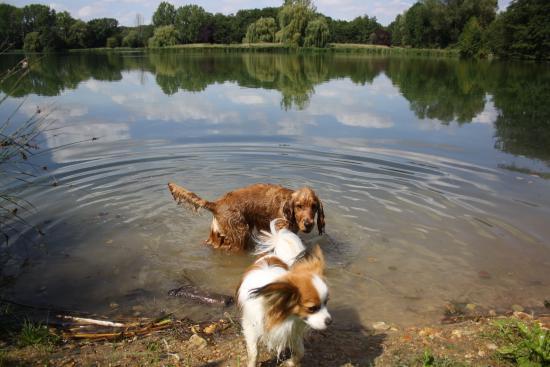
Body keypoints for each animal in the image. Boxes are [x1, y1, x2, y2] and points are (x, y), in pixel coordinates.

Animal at [166, 183, 326, 252]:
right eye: (299, 206)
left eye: (314, 206)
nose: (308, 224)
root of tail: (216, 204)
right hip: (241, 233)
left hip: (217, 235)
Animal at [237, 220, 332, 366]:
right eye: (312, 308)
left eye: (326, 303)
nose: (329, 321)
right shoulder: (251, 328)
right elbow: (254, 353)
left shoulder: (292, 330)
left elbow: (300, 351)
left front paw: (291, 362)